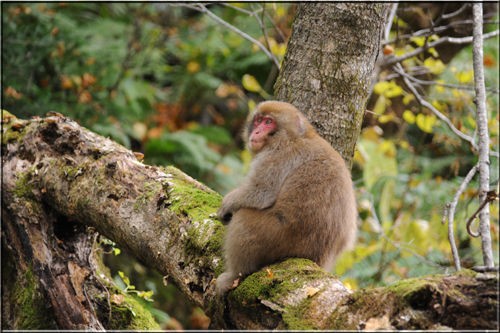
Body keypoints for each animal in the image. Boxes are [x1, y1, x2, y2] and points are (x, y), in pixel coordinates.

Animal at [215, 100, 356, 294]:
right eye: (258, 120)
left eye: (268, 122)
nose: (256, 132)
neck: (296, 136)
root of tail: (315, 256)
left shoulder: (276, 155)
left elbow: (261, 192)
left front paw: (227, 204)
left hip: (277, 238)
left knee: (242, 219)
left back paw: (234, 276)